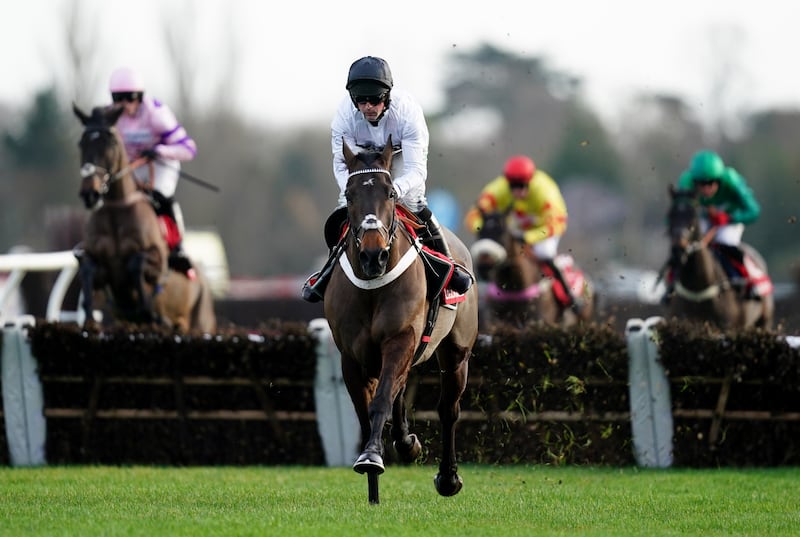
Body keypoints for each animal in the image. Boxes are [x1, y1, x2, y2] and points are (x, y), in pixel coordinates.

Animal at [71, 104, 214, 330]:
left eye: (110, 142)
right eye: (82, 143)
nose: (90, 194)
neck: (116, 211)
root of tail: (205, 284)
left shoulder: (157, 264)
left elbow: (136, 263)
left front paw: (148, 310)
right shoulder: (100, 268)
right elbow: (87, 269)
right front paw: (89, 315)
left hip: (199, 323)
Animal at [324, 135, 478, 502]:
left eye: (390, 193)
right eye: (349, 194)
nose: (373, 255)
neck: (372, 287)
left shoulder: (400, 338)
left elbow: (381, 401)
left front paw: (373, 456)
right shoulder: (352, 356)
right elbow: (367, 411)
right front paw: (372, 470)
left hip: (456, 353)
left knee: (448, 409)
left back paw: (447, 477)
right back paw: (405, 443)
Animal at [664, 187, 772, 330]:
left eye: (693, 215)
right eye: (670, 215)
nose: (678, 248)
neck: (698, 290)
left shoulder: (728, 327)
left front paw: (720, 217)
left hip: (764, 321)